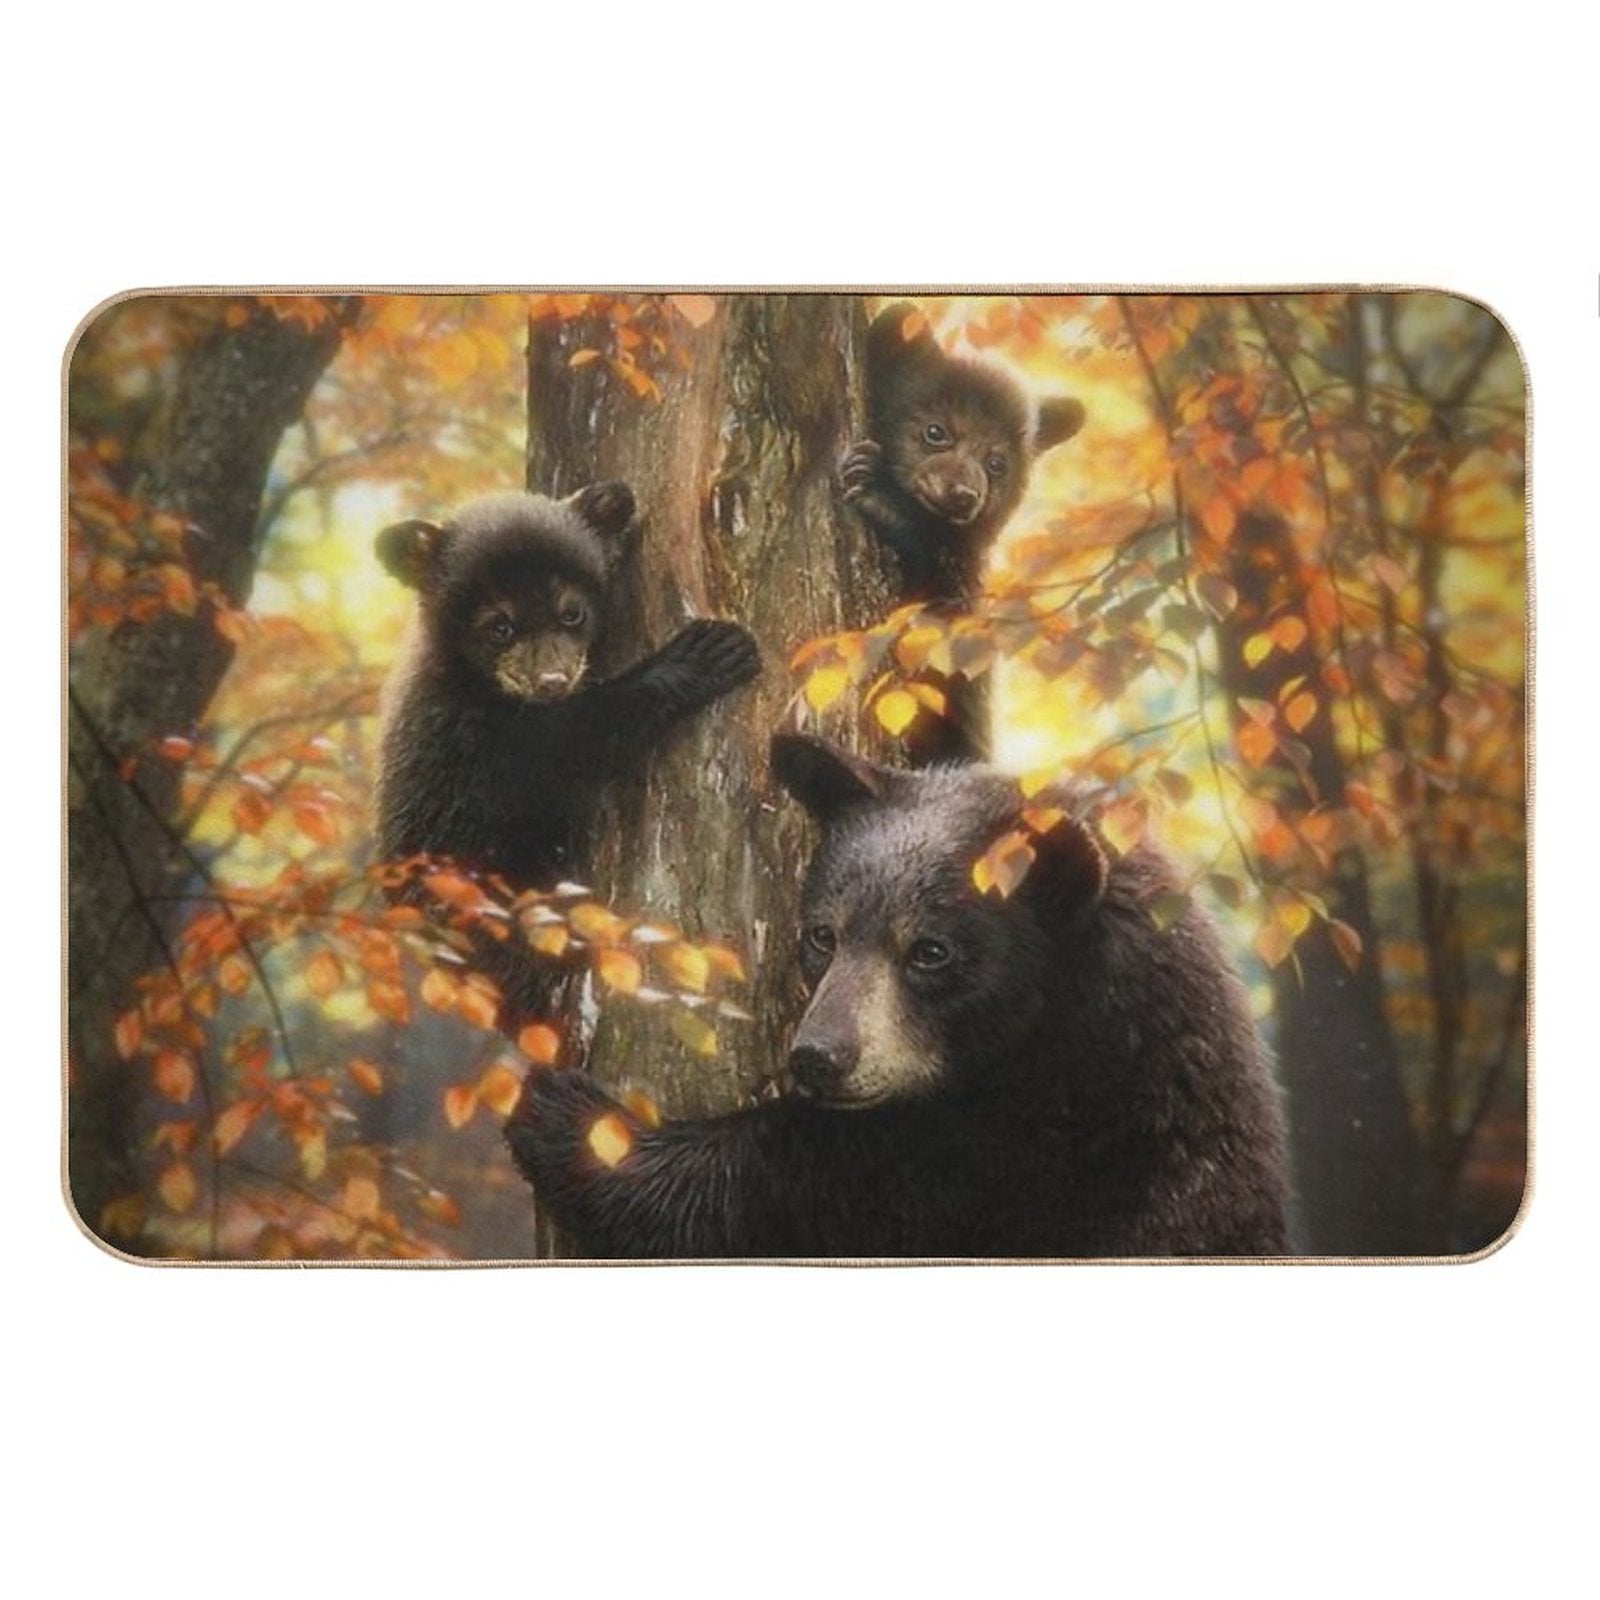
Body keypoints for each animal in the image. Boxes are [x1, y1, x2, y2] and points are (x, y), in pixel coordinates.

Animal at [504, 733, 1292, 1259]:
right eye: (822, 934)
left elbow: (812, 1176)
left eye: (930, 950)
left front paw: (576, 1123)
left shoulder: (1021, 1170)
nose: (819, 1056)